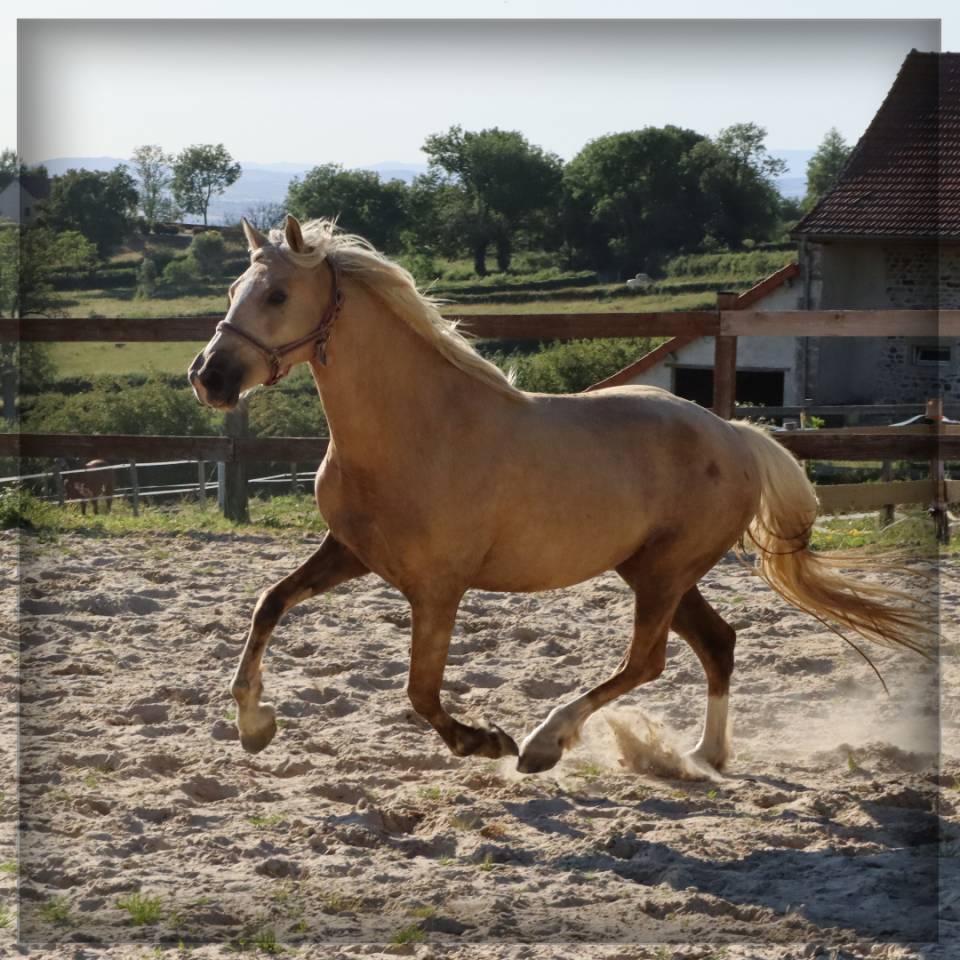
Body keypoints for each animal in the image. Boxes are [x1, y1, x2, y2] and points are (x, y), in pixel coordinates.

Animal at [188, 215, 931, 776]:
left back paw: (546, 742)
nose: (209, 377)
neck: (417, 429)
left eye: (277, 296)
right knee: (718, 643)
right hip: (655, 569)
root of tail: (736, 434)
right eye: (232, 288)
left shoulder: (438, 588)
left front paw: (485, 741)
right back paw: (705, 755)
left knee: (648, 660)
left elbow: (420, 691)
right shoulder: (350, 552)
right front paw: (254, 724)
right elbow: (269, 604)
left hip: (664, 573)